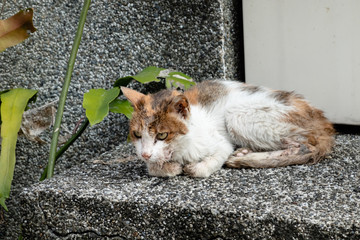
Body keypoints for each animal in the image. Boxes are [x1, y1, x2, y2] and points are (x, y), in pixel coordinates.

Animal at [121, 80, 334, 178]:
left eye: (162, 135)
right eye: (137, 134)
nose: (145, 154)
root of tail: (325, 124)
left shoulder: (221, 144)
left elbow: (210, 162)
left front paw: (195, 167)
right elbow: (153, 168)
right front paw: (168, 167)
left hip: (237, 115)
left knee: (304, 147)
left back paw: (244, 158)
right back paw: (245, 151)